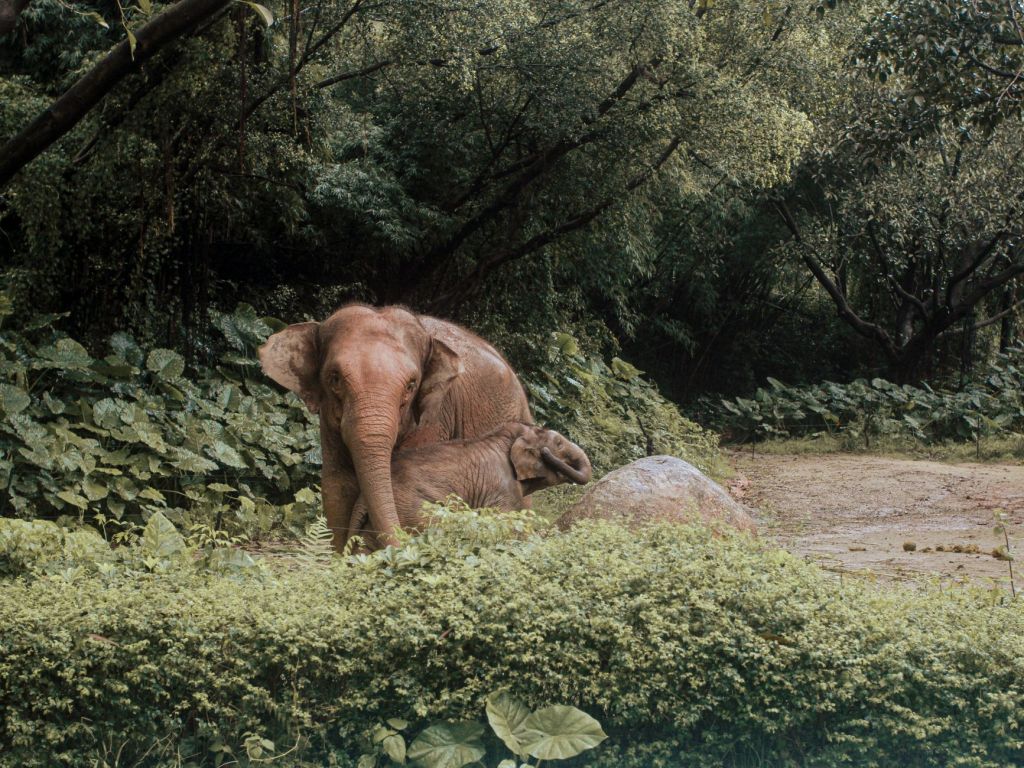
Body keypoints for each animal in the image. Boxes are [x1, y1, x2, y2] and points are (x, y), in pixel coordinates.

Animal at [346, 422, 593, 549]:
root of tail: (363, 499)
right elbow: (507, 524)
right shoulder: (502, 487)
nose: (547, 453)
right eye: (558, 443)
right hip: (413, 510)